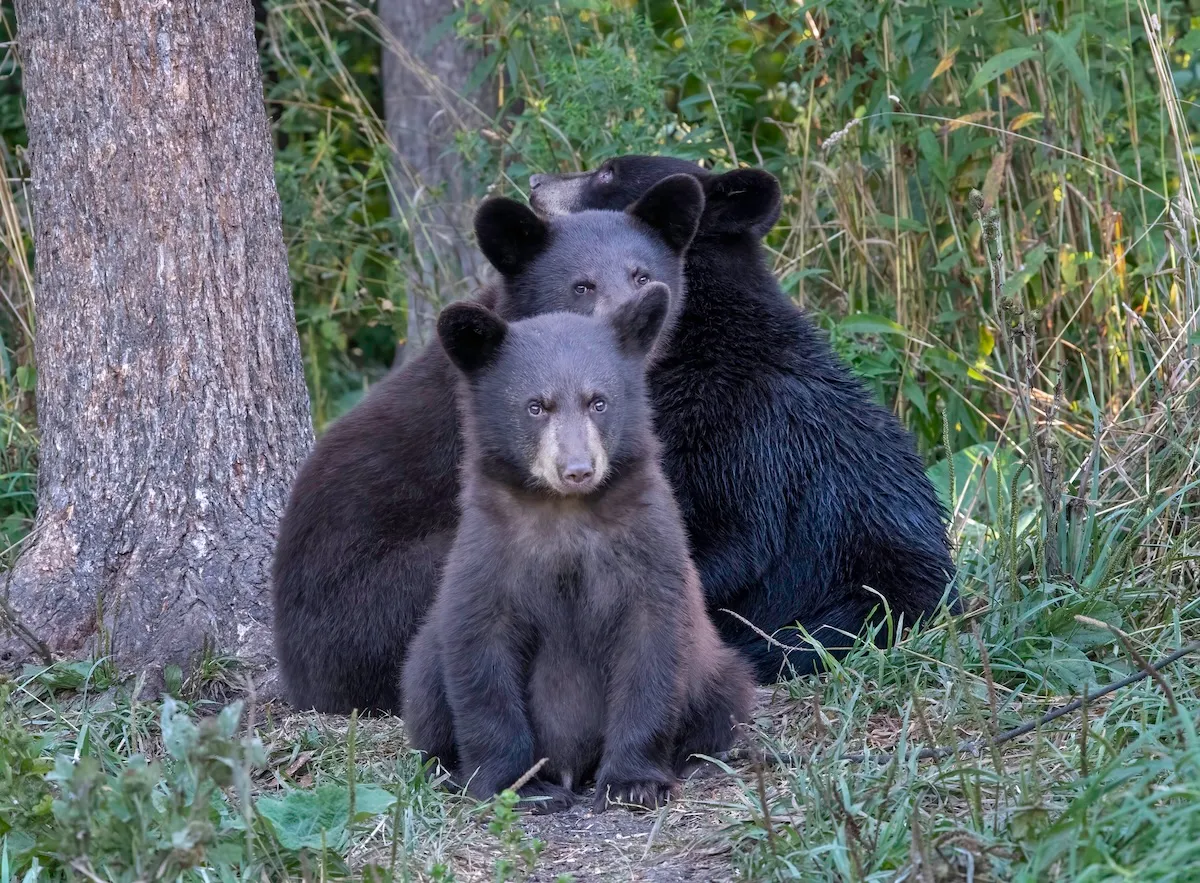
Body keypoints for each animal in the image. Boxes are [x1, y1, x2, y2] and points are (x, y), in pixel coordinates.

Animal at [402, 286, 755, 813]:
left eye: (599, 401)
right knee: (424, 684)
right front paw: (519, 787)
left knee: (725, 695)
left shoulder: (649, 545)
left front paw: (634, 782)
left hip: (716, 667)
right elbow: (481, 657)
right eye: (535, 406)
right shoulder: (488, 551)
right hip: (425, 657)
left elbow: (652, 649)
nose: (577, 469)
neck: (566, 514)